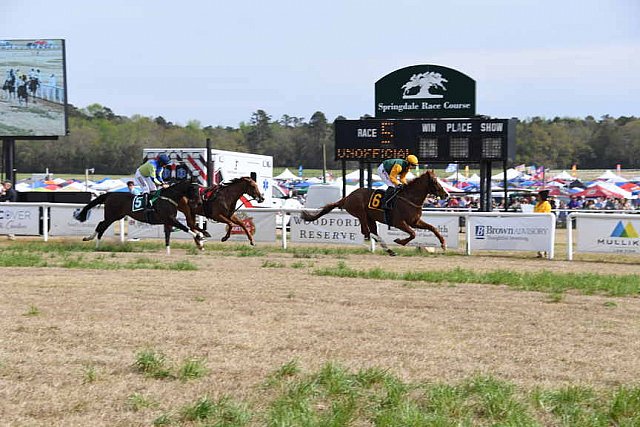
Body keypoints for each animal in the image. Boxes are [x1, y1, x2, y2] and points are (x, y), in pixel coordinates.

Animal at [74, 179, 205, 256]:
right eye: (193, 189)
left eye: (199, 189)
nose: (199, 202)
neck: (168, 198)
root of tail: (110, 193)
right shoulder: (170, 219)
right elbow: (185, 228)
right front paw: (200, 237)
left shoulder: (168, 221)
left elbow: (168, 236)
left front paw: (168, 251)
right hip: (111, 216)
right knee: (101, 225)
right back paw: (94, 242)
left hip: (117, 216)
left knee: (101, 225)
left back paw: (93, 241)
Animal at [302, 171, 448, 258]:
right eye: (435, 181)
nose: (446, 194)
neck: (409, 198)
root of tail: (347, 197)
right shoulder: (399, 222)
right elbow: (413, 234)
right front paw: (399, 241)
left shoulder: (415, 221)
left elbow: (432, 228)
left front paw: (443, 244)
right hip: (360, 213)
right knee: (366, 232)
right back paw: (382, 245)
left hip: (370, 217)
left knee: (370, 231)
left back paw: (389, 250)